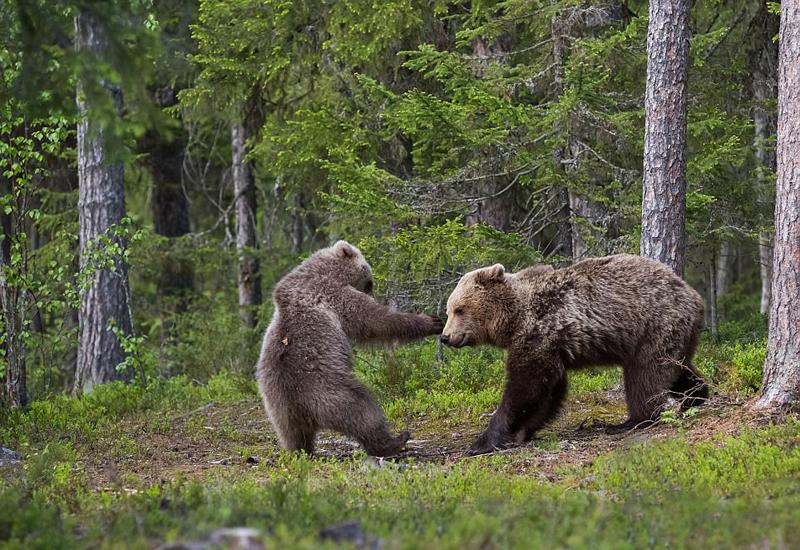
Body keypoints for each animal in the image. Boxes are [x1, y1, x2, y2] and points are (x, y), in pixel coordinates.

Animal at [256, 240, 444, 458]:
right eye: (370, 282)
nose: (373, 294)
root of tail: (303, 409)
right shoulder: (333, 293)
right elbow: (373, 320)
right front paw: (430, 321)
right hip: (332, 392)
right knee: (364, 412)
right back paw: (395, 440)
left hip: (277, 409)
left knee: (293, 436)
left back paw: (302, 451)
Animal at [440, 254, 708, 458]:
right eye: (449, 310)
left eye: (459, 309)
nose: (445, 337)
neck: (514, 318)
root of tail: (694, 296)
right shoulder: (550, 346)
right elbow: (548, 392)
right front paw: (521, 432)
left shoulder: (540, 330)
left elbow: (525, 387)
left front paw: (482, 442)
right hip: (674, 334)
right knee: (676, 367)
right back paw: (696, 396)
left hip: (653, 326)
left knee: (645, 374)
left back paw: (632, 421)